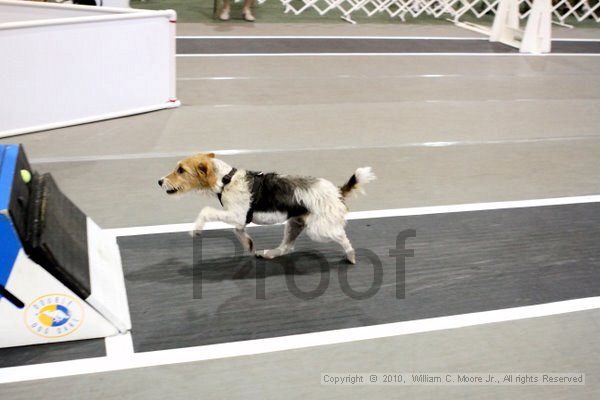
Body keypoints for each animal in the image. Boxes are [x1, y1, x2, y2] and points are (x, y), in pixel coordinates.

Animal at [159, 152, 376, 262]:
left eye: (181, 170)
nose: (159, 181)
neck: (226, 179)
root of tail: (337, 192)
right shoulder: (239, 219)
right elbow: (238, 231)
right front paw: (248, 244)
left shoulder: (236, 214)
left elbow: (206, 211)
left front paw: (196, 230)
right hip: (295, 224)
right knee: (287, 247)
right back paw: (269, 253)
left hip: (319, 229)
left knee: (342, 237)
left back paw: (351, 255)